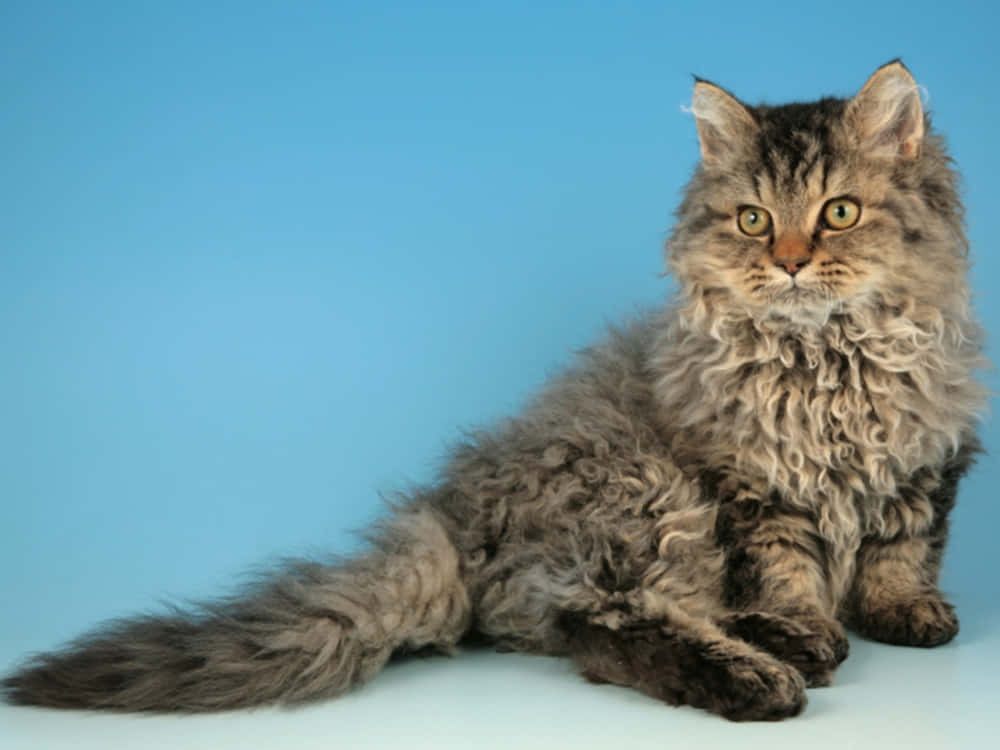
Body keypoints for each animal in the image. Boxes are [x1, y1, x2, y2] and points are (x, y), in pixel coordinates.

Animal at [1, 60, 984, 724]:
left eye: (838, 213)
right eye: (752, 220)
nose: (787, 262)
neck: (829, 363)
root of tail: (456, 513)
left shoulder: (927, 459)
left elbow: (901, 549)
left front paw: (904, 613)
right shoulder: (746, 486)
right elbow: (785, 569)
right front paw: (807, 616)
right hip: (648, 498)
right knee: (607, 620)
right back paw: (768, 668)